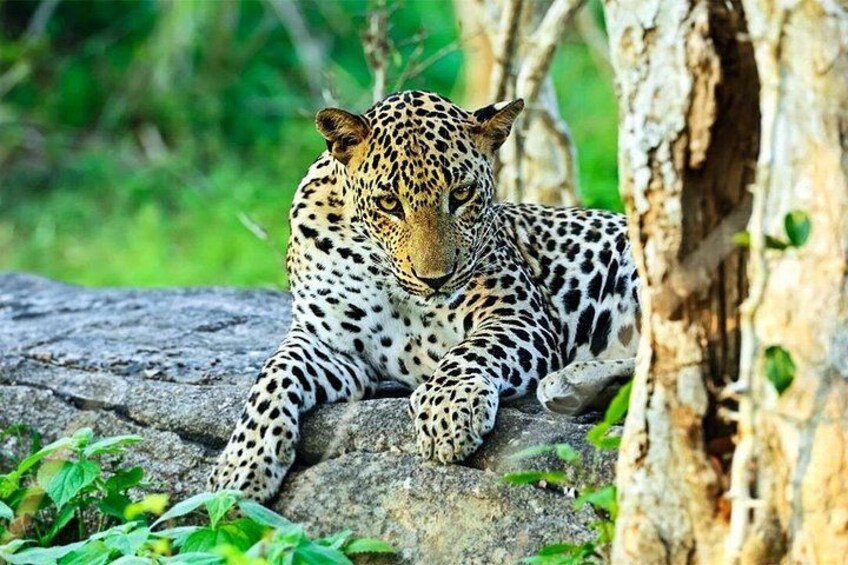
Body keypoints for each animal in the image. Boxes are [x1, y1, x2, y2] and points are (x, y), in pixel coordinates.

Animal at [209, 90, 641, 501]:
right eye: (388, 203)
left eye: (462, 194)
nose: (436, 279)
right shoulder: (328, 344)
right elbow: (273, 376)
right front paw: (240, 465)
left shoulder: (519, 315)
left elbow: (472, 349)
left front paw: (447, 409)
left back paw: (568, 383)